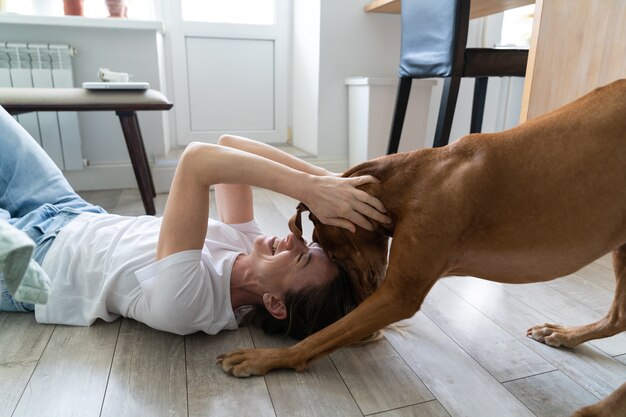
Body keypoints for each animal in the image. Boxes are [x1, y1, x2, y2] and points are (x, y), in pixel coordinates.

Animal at [218, 80, 624, 412]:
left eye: (329, 249)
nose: (354, 295)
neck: (414, 181)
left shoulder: (399, 293)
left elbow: (322, 336)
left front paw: (266, 358)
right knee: (617, 317)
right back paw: (567, 337)